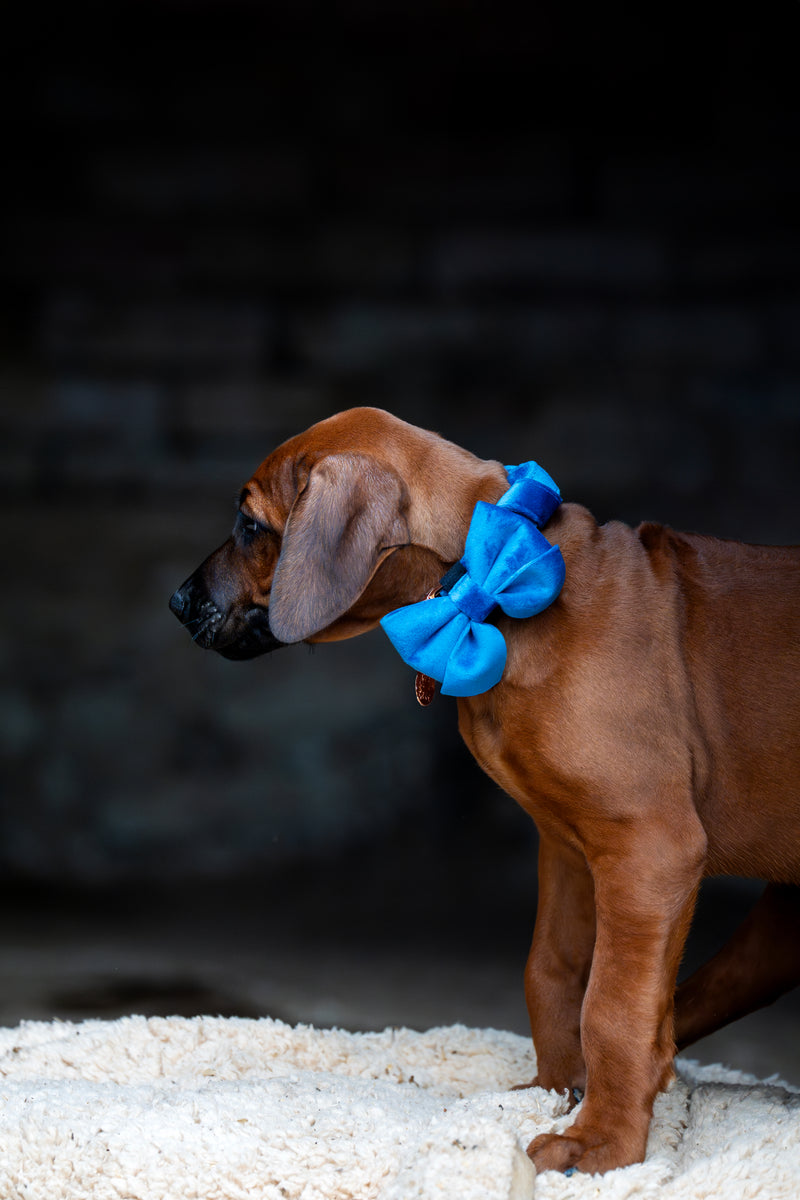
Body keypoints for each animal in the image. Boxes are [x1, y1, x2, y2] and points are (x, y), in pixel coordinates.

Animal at [169, 408, 800, 1176]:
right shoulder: (569, 847)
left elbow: (615, 1005)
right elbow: (553, 973)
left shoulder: (650, 849)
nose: (176, 602)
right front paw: (555, 1090)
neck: (484, 590)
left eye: (250, 525)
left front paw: (605, 1142)